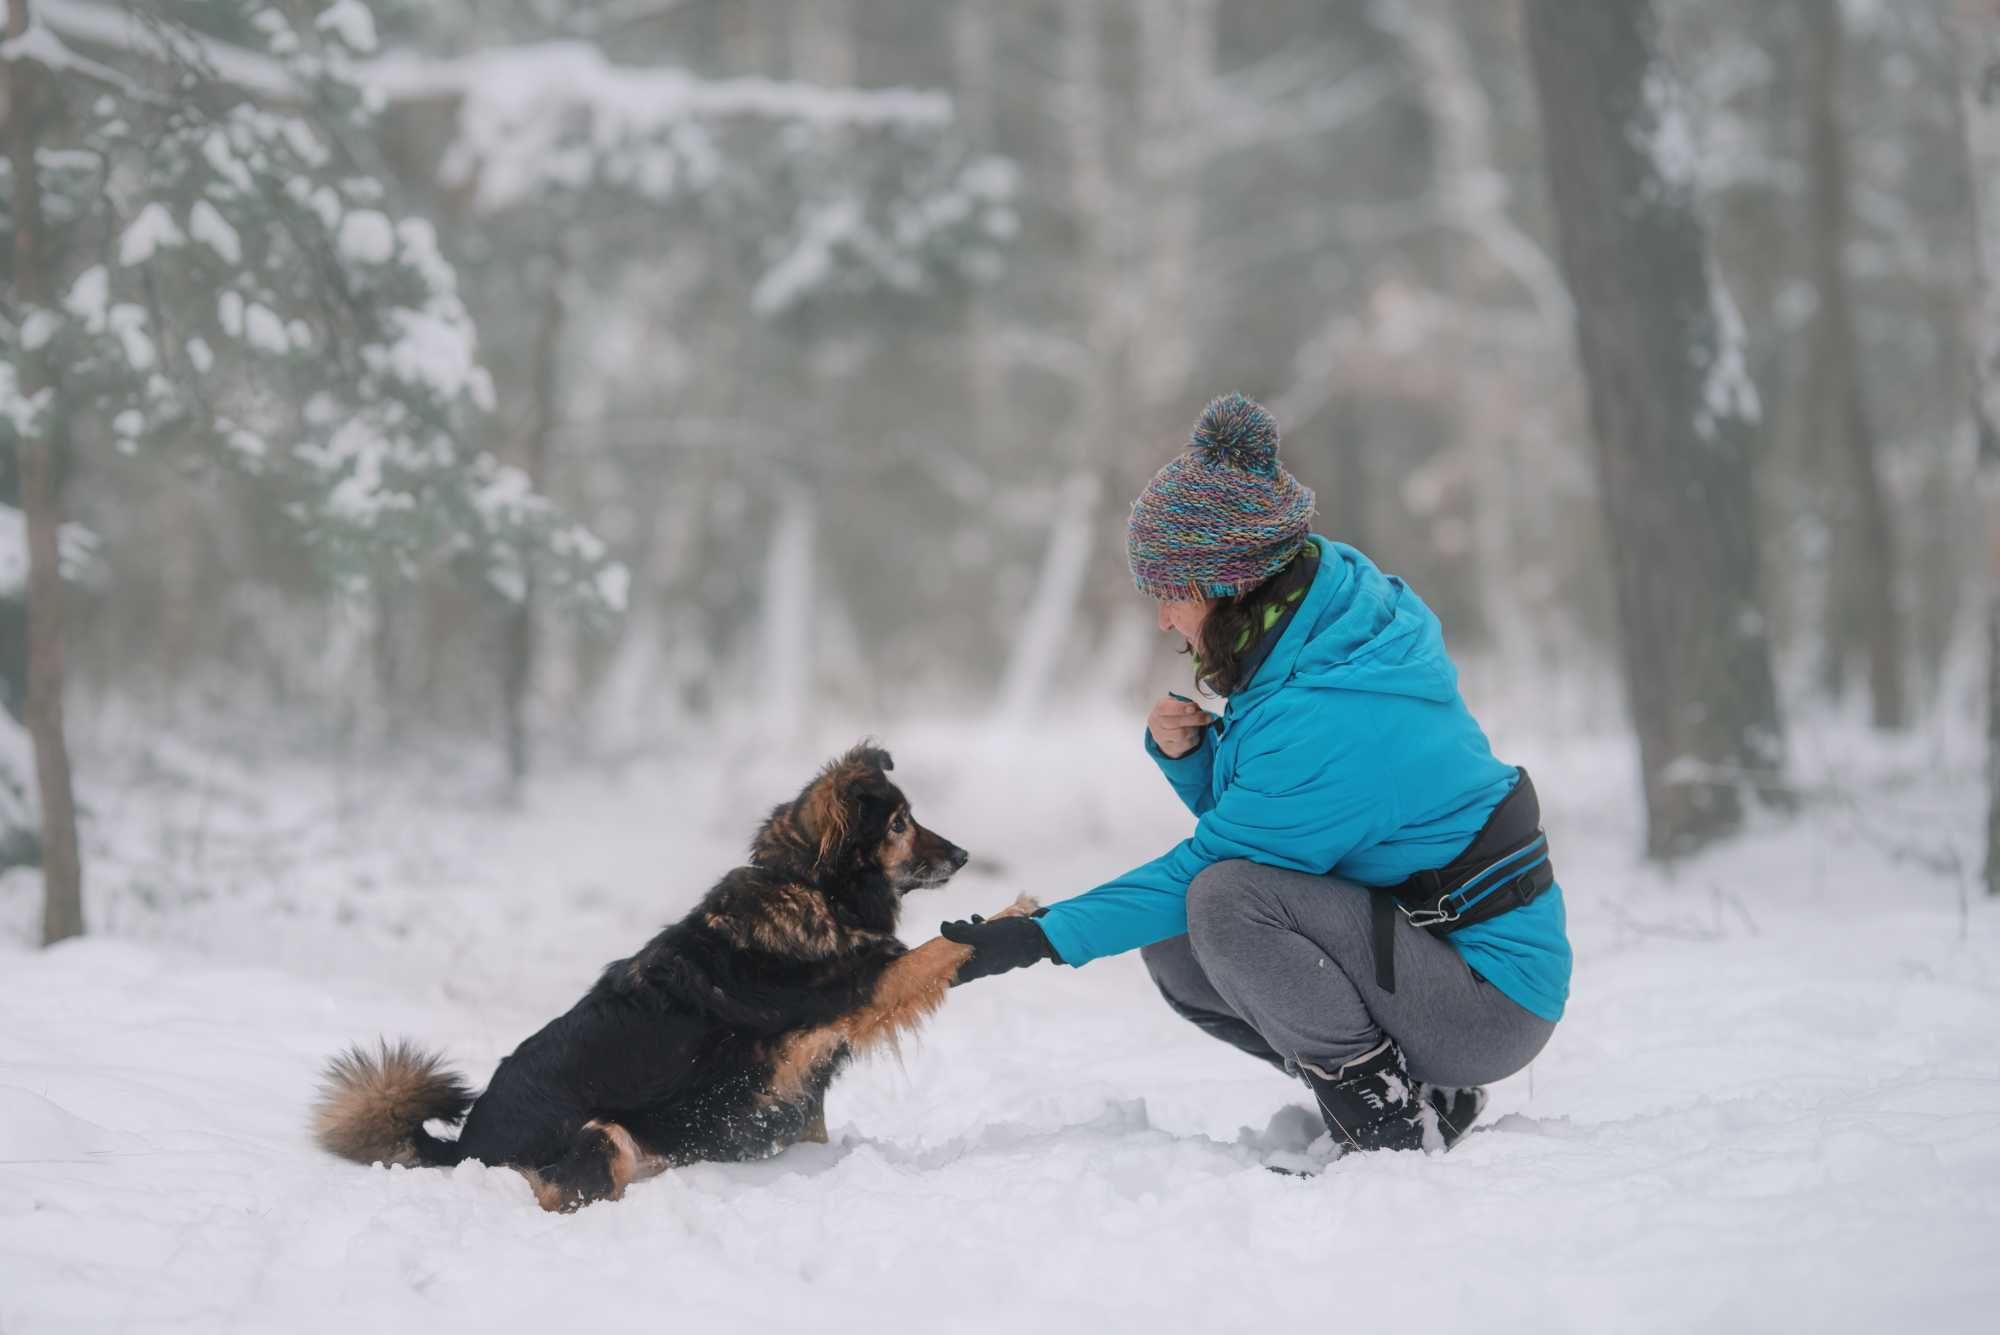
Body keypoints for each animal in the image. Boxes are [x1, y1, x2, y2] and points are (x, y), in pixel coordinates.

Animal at [316, 747, 1032, 1215]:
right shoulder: (857, 992)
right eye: (898, 824)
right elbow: (937, 949)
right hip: (602, 1133)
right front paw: (1011, 919)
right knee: (556, 1191)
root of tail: (463, 1147)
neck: (811, 887)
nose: (964, 856)